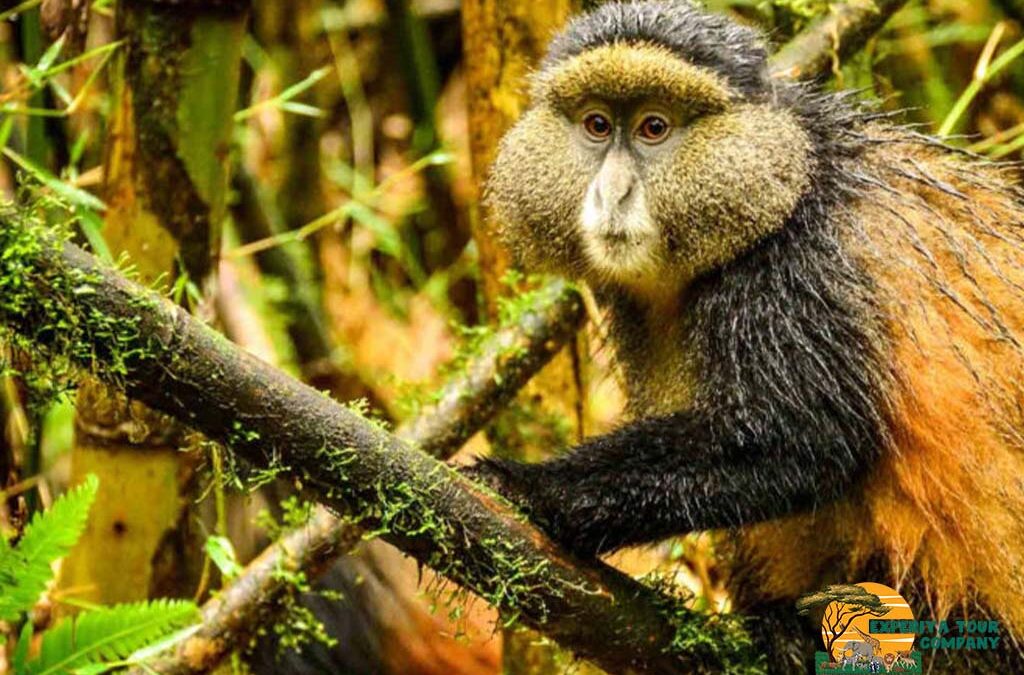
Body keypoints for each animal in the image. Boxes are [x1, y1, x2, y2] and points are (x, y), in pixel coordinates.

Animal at [469, 1, 1024, 671]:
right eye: (597, 125)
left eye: (654, 128)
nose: (613, 193)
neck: (790, 177)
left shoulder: (795, 269)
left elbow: (803, 440)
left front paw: (528, 488)